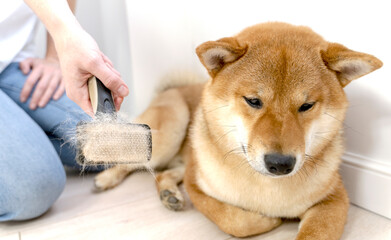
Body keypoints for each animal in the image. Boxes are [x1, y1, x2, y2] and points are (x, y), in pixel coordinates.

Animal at [94, 22, 382, 238]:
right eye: (253, 101)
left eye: (306, 105)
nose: (280, 164)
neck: (267, 187)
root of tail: (172, 89)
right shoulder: (197, 184)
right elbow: (233, 220)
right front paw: (268, 220)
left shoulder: (334, 199)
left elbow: (316, 232)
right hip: (169, 133)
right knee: (133, 161)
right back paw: (106, 178)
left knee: (163, 173)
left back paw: (169, 194)